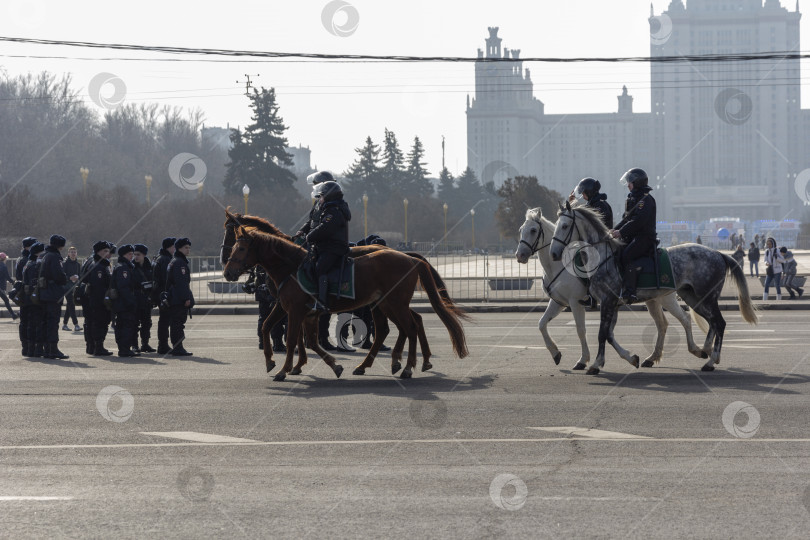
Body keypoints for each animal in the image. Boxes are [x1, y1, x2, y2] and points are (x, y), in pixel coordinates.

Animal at [221, 207, 464, 376]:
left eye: (239, 246)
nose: (227, 269)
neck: (290, 266)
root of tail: (409, 258)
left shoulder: (296, 310)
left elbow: (293, 339)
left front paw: (286, 369)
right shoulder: (289, 308)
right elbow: (273, 329)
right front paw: (280, 363)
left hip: (394, 303)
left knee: (409, 327)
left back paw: (407, 366)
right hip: (385, 304)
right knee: (397, 327)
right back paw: (382, 363)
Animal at [516, 208, 704, 372]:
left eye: (533, 230)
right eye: (520, 229)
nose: (520, 255)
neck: (559, 265)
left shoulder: (576, 302)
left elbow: (582, 330)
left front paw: (583, 360)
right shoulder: (558, 302)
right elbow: (542, 324)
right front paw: (555, 353)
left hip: (665, 298)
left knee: (684, 319)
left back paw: (696, 350)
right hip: (654, 300)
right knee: (663, 324)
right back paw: (652, 358)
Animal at [548, 202, 760, 376]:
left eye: (565, 226)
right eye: (556, 225)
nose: (554, 253)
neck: (603, 257)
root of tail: (718, 253)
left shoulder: (608, 301)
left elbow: (602, 334)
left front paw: (596, 364)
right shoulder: (613, 304)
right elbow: (608, 334)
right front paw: (631, 358)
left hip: (707, 297)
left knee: (719, 323)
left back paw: (710, 359)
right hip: (694, 298)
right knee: (710, 322)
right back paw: (703, 351)